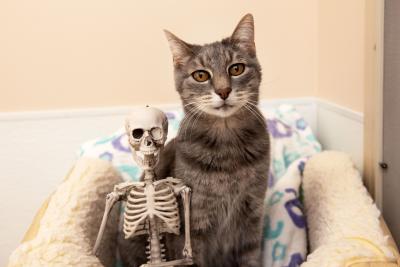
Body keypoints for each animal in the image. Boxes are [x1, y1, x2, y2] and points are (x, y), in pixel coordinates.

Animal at [118, 13, 268, 267]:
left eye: (236, 69)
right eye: (201, 75)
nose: (224, 91)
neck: (227, 147)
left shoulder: (252, 217)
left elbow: (250, 259)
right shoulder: (193, 225)